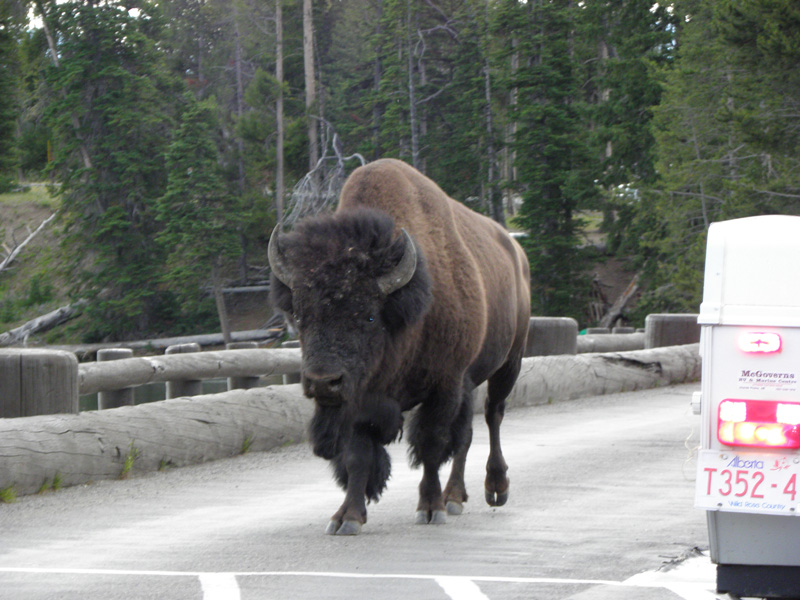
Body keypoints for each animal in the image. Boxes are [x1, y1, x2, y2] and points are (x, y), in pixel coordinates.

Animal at [268, 158, 532, 536]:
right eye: (301, 315)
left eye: (369, 316)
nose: (323, 382)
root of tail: (516, 252)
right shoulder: (360, 397)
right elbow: (359, 455)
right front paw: (347, 517)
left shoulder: (444, 386)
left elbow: (432, 446)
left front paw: (430, 508)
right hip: (468, 383)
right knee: (465, 435)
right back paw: (455, 496)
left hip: (508, 363)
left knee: (493, 416)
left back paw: (494, 489)